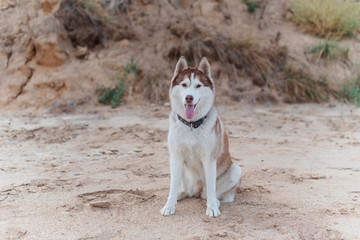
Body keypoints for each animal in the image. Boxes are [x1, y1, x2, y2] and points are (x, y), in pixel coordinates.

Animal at [160, 56, 242, 218]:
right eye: (184, 85)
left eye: (198, 86)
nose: (189, 97)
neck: (191, 125)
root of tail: (196, 191)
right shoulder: (176, 156)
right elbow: (172, 185)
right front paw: (169, 205)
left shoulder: (209, 160)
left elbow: (211, 187)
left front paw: (212, 208)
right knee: (184, 189)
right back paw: (180, 194)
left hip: (236, 170)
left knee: (210, 193)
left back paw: (214, 201)